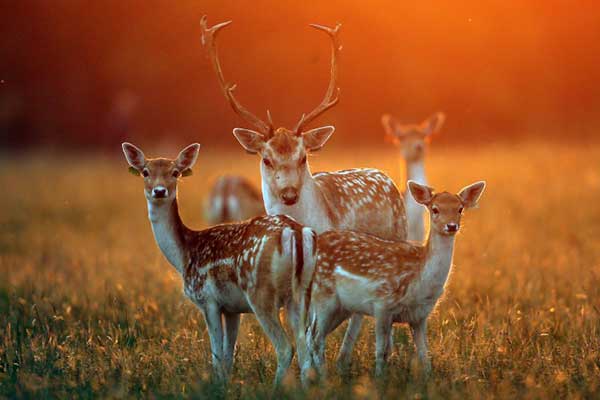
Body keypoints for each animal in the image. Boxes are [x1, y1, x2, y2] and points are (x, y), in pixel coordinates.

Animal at [122, 141, 318, 384]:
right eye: (145, 172)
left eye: (175, 172)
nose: (159, 191)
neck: (185, 254)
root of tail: (296, 233)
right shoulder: (232, 308)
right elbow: (227, 356)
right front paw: (226, 384)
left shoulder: (208, 300)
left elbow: (216, 355)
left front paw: (216, 385)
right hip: (300, 295)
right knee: (305, 349)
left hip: (260, 293)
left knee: (285, 348)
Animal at [202, 16, 408, 372]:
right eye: (266, 158)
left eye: (303, 157)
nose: (288, 193)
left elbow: (313, 331)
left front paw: (315, 370)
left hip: (398, 236)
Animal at [298, 181, 486, 378]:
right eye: (435, 209)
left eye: (460, 208)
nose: (451, 226)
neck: (420, 280)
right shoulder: (382, 304)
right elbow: (382, 350)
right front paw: (380, 378)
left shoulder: (420, 316)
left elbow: (424, 353)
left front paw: (428, 378)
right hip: (324, 297)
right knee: (316, 339)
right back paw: (323, 377)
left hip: (340, 307)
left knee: (311, 336)